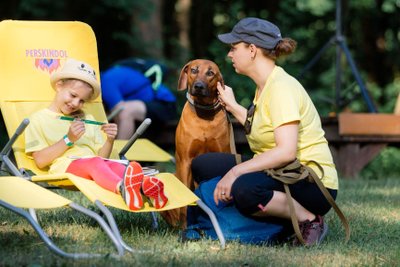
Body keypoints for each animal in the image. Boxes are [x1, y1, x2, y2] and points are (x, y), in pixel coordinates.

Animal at [162, 59, 231, 229]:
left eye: (210, 73)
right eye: (194, 70)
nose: (199, 86)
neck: (204, 116)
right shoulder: (186, 160)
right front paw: (185, 227)